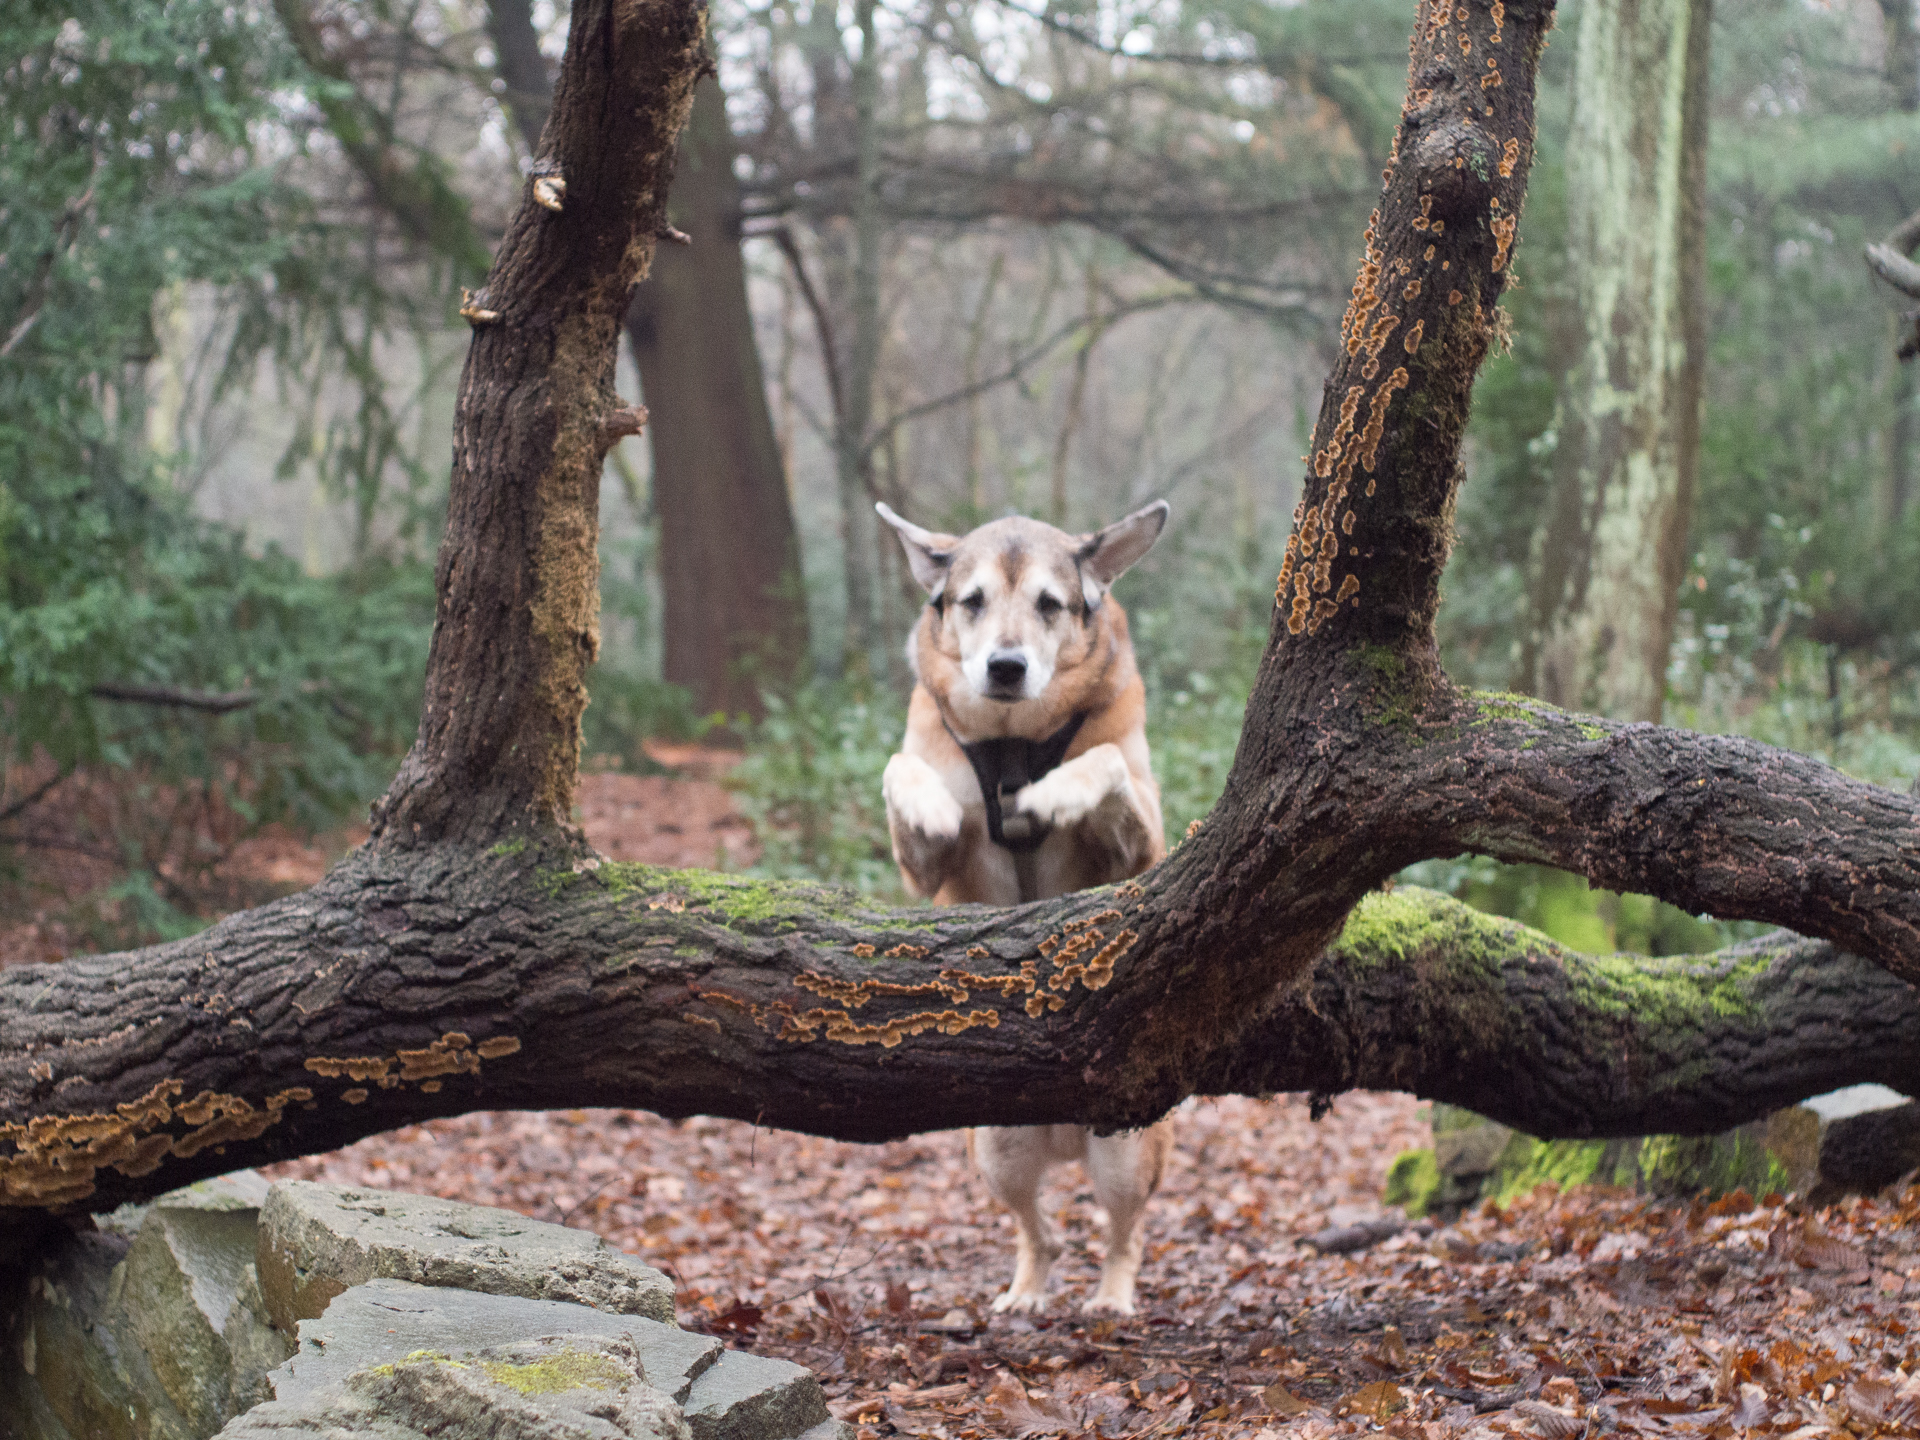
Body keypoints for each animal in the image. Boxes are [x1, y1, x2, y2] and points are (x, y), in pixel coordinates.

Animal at [879, 499, 1175, 1320]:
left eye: (1050, 603)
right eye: (972, 600)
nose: (1005, 667)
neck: (1012, 745)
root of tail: (1060, 1129)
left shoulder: (1142, 851)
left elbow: (1101, 762)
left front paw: (1055, 792)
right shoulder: (923, 862)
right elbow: (900, 766)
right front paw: (932, 803)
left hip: (1124, 1153)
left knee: (1123, 1231)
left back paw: (1111, 1296)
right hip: (997, 1152)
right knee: (1038, 1230)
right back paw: (1025, 1290)